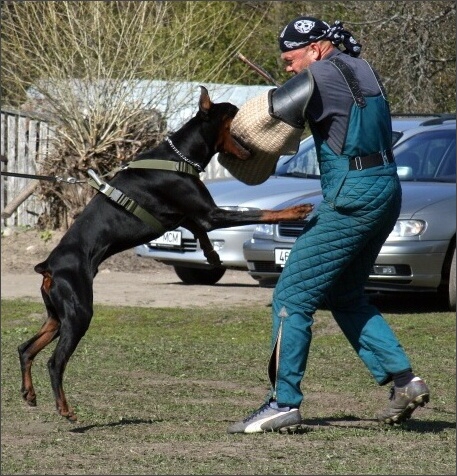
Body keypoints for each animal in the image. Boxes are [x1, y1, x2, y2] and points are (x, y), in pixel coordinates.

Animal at [17, 85, 314, 420]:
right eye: (233, 111)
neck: (179, 156)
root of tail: (49, 266)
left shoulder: (187, 215)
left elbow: (199, 230)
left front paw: (212, 257)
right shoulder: (211, 213)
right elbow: (259, 213)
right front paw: (297, 210)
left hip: (57, 315)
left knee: (25, 348)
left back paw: (29, 393)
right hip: (79, 311)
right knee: (55, 362)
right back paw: (65, 409)